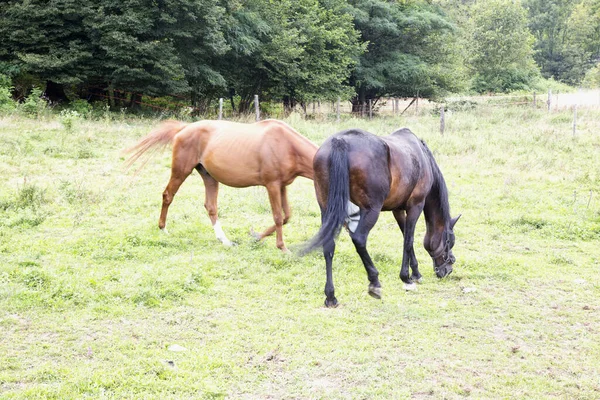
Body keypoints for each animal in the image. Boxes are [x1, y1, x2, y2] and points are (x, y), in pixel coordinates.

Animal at [126, 117, 318, 252]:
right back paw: (163, 229)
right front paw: (282, 248)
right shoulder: (272, 185)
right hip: (181, 171)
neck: (287, 145)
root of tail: (184, 128)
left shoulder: (282, 186)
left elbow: (286, 216)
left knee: (211, 206)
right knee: (168, 196)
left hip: (209, 177)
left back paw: (225, 241)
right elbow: (278, 217)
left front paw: (256, 236)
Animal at [302, 127, 462, 306]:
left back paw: (331, 296)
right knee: (359, 239)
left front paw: (415, 272)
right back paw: (374, 282)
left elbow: (405, 236)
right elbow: (409, 240)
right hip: (371, 210)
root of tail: (340, 141)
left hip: (327, 209)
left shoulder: (398, 210)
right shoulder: (415, 205)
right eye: (450, 241)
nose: (447, 270)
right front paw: (406, 277)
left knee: (329, 244)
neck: (423, 157)